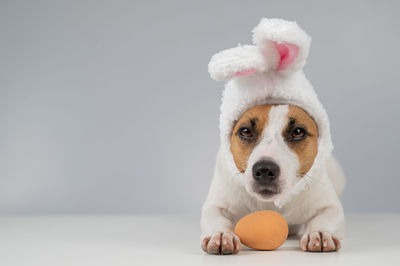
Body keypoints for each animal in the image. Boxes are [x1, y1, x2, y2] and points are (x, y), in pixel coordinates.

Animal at [202, 17, 346, 255]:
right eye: (245, 131)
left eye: (297, 132)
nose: (264, 170)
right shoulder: (216, 203)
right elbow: (216, 216)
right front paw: (221, 234)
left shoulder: (328, 205)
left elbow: (326, 215)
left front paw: (320, 232)